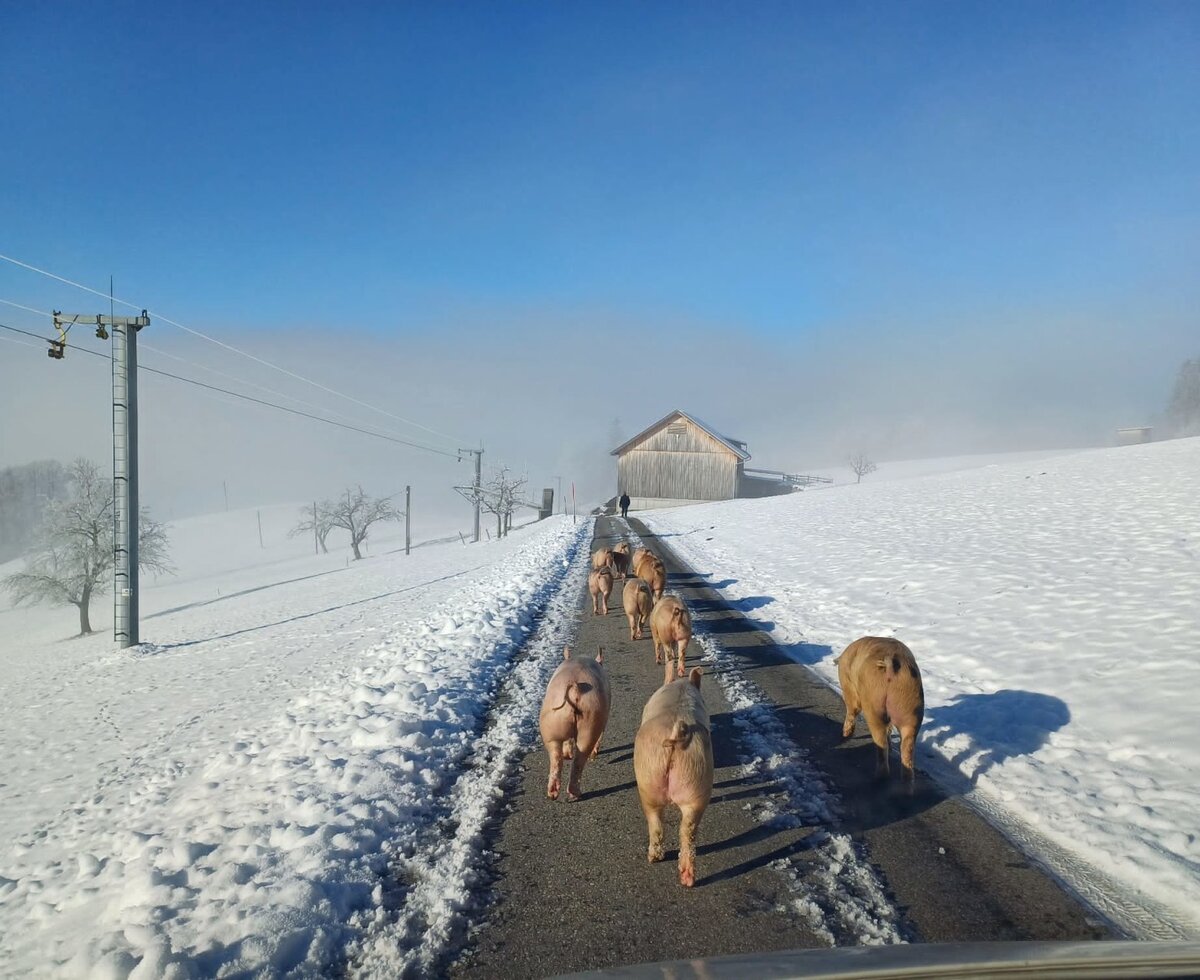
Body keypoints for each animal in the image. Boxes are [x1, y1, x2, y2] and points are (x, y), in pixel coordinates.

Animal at [539, 646, 612, 801]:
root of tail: (574, 687)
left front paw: (568, 754)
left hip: (551, 723)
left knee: (556, 757)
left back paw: (553, 793)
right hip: (591, 719)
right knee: (581, 757)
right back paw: (576, 793)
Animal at [633, 667, 713, 886]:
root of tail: (678, 733)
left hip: (648, 778)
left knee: (656, 824)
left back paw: (653, 858)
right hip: (696, 777)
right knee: (687, 831)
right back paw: (687, 879)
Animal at [835, 636, 924, 789]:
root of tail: (890, 665)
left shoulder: (849, 688)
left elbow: (853, 709)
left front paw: (846, 735)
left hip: (873, 703)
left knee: (880, 742)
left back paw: (878, 778)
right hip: (911, 705)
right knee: (907, 747)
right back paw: (907, 786)